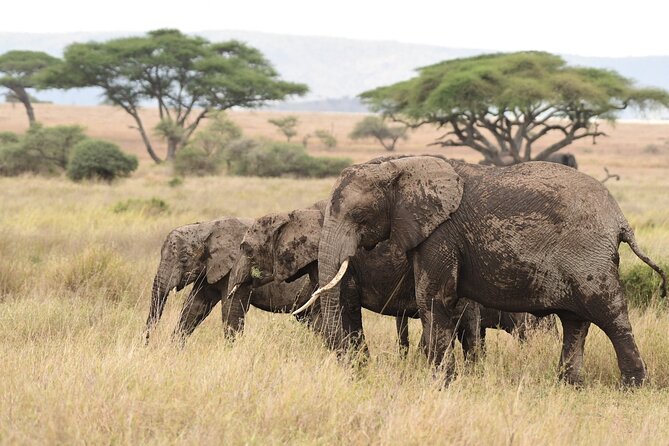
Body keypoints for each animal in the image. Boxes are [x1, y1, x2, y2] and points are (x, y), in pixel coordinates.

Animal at [144, 217, 312, 344]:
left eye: (184, 259)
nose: (146, 344)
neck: (207, 228)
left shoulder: (237, 267)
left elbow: (231, 309)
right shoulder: (210, 269)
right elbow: (194, 307)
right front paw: (174, 349)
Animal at [307, 155, 666, 385]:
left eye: (358, 216)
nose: (355, 368)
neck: (396, 168)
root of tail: (620, 219)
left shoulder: (440, 233)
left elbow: (433, 298)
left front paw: (439, 384)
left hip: (587, 255)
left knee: (609, 314)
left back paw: (633, 386)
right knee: (575, 321)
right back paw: (569, 386)